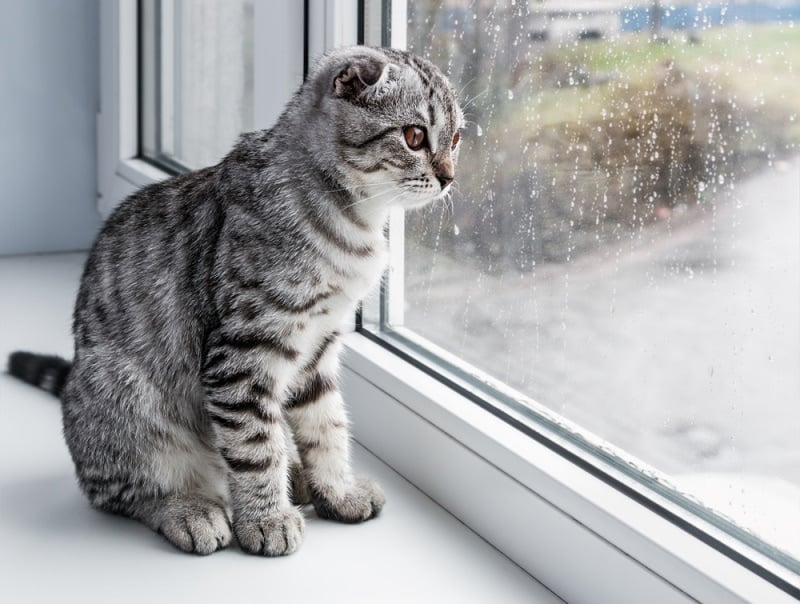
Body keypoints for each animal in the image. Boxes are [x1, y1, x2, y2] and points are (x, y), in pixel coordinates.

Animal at [6, 46, 462, 556]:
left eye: (456, 138)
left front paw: (336, 491)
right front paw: (266, 518)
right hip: (122, 391)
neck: (352, 222)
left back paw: (296, 479)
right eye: (414, 136)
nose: (448, 177)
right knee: (122, 488)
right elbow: (253, 446)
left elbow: (326, 426)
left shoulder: (317, 348)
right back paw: (190, 509)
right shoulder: (243, 352)